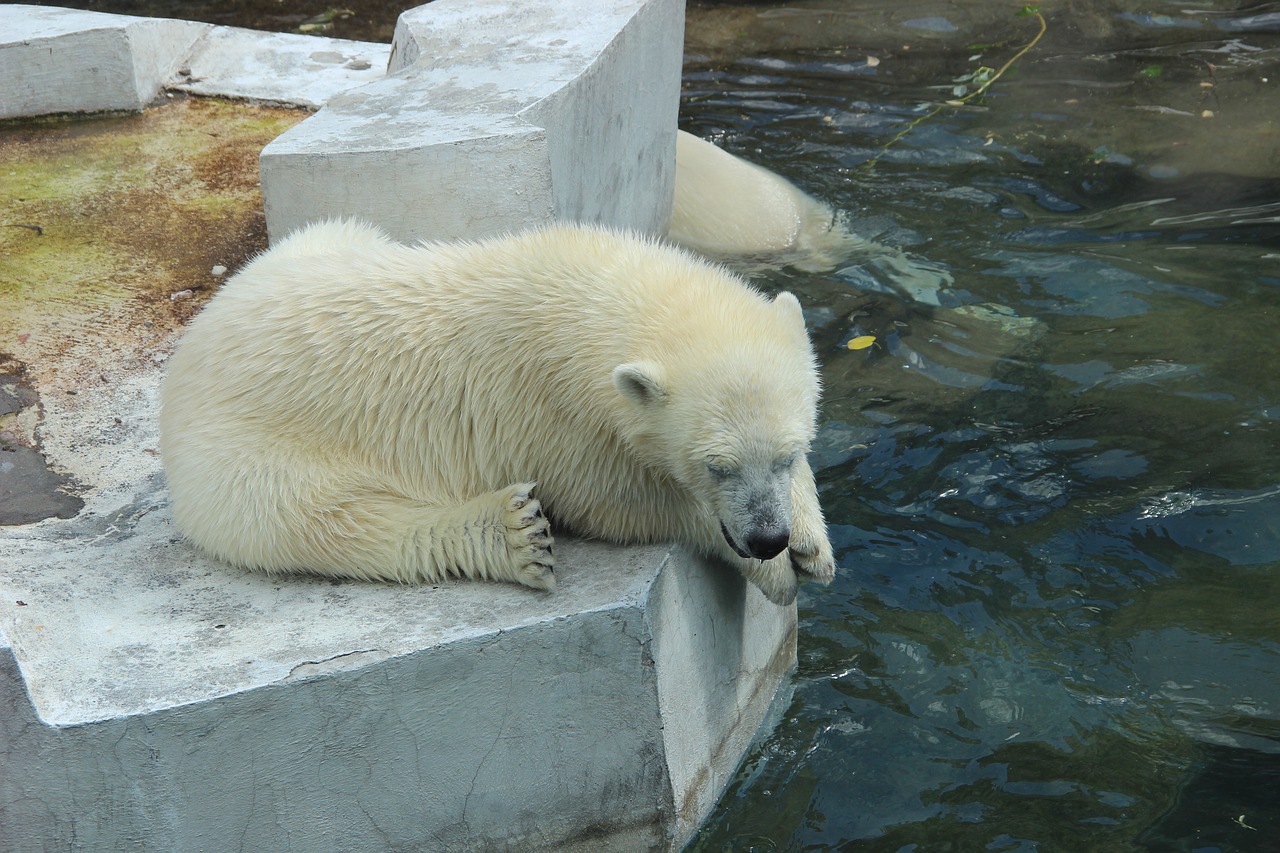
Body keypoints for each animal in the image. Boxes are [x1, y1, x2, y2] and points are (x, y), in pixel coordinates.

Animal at [157, 219, 839, 604]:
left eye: (789, 454)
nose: (768, 537)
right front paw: (773, 571)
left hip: (327, 241)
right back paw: (513, 536)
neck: (586, 295)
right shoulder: (559, 413)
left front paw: (812, 540)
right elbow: (622, 502)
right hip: (239, 456)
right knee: (326, 521)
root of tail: (190, 346)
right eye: (716, 467)